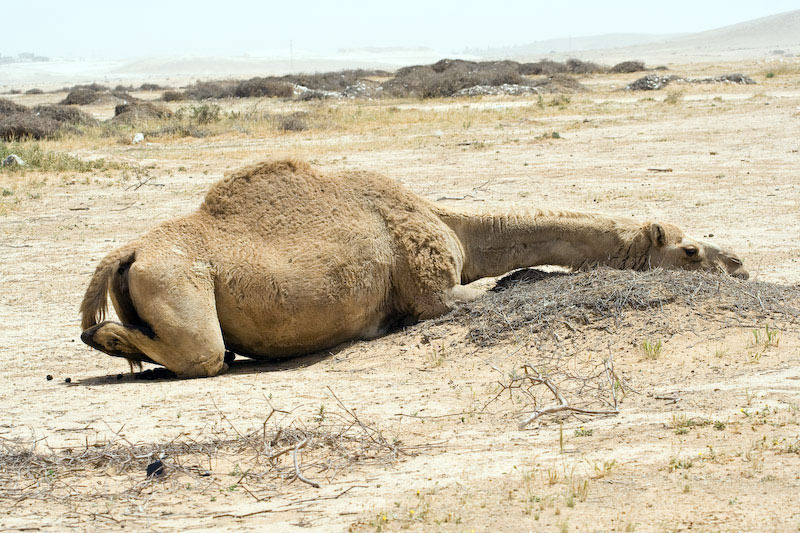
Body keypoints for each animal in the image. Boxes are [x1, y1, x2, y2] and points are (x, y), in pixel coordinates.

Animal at [80, 159, 748, 377]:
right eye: (690, 251)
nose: (740, 265)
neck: (456, 230)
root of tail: (129, 251)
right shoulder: (434, 293)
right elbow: (494, 291)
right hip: (179, 281)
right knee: (204, 354)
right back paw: (110, 341)